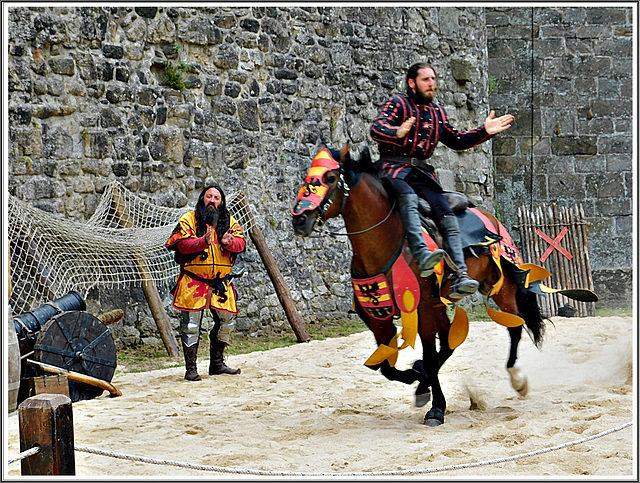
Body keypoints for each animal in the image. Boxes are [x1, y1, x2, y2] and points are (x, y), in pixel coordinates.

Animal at [290, 145, 544, 428]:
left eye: (330, 178)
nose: (299, 220)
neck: (385, 241)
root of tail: (491, 218)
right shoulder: (377, 315)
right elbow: (386, 366)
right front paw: (418, 379)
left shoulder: (421, 308)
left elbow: (429, 358)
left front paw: (436, 408)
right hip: (441, 303)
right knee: (450, 341)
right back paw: (423, 382)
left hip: (501, 286)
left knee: (514, 327)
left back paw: (516, 379)